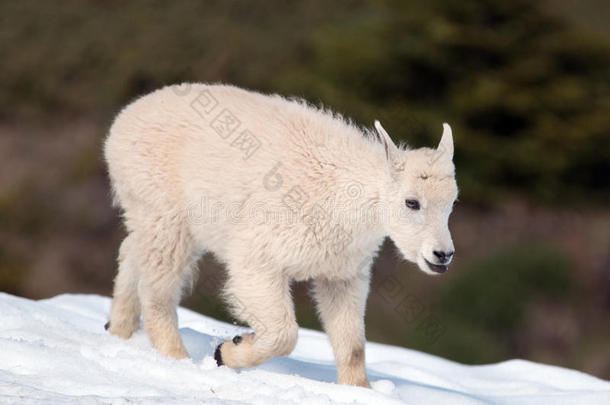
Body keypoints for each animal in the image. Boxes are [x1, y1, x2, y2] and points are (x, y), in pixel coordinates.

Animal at [104, 83, 456, 388]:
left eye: (452, 202)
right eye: (412, 202)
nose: (442, 255)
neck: (344, 195)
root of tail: (120, 124)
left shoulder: (341, 274)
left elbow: (352, 342)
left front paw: (359, 389)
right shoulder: (260, 258)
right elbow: (283, 334)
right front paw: (226, 351)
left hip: (153, 215)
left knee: (132, 250)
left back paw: (118, 329)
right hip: (165, 212)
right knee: (159, 284)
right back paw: (175, 356)